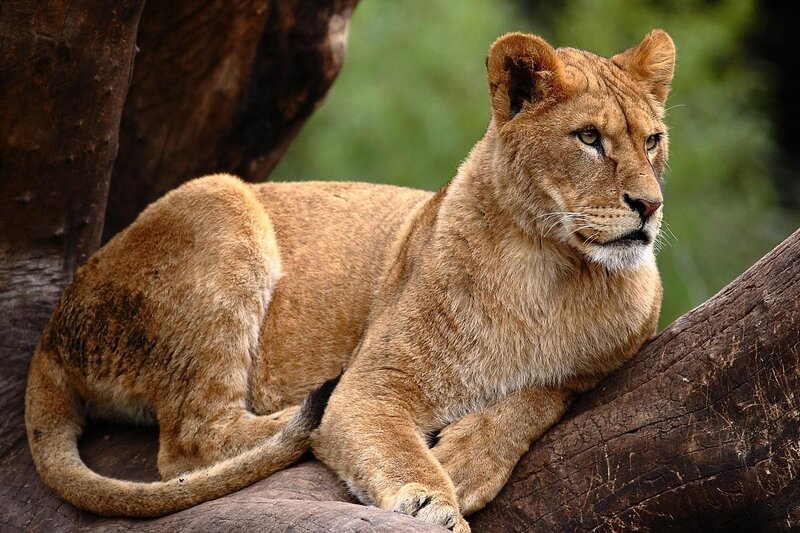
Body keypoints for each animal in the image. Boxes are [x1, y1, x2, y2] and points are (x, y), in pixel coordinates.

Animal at [25, 29, 675, 532]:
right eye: (588, 137)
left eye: (652, 141)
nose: (649, 206)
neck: (547, 267)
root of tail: (50, 333)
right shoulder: (373, 385)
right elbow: (394, 447)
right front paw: (434, 501)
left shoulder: (601, 360)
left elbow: (536, 397)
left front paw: (466, 460)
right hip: (219, 198)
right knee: (193, 440)